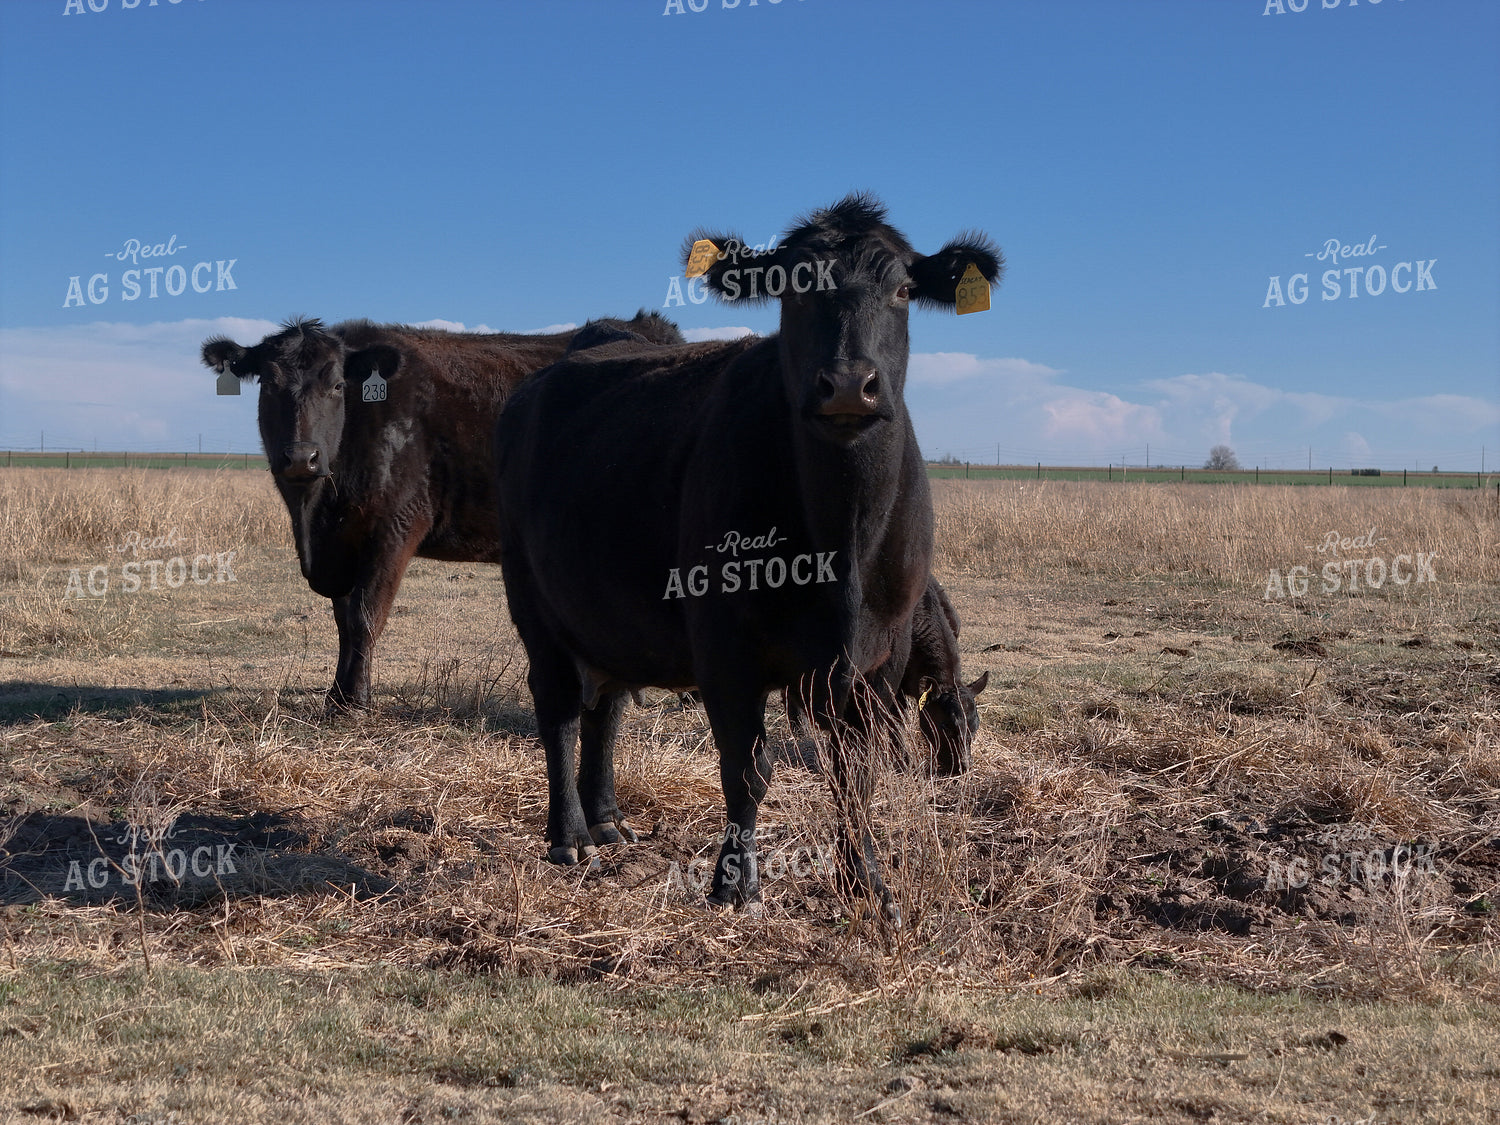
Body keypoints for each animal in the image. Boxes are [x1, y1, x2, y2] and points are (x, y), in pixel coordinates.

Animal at [200, 311, 683, 711]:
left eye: (337, 386)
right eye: (267, 384)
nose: (302, 457)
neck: (316, 514)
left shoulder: (396, 525)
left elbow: (364, 616)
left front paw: (353, 702)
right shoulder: (341, 540)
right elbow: (342, 619)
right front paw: (338, 693)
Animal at [786, 576, 989, 776]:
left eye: (975, 726)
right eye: (945, 726)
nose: (962, 767)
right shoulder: (893, 685)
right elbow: (896, 721)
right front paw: (902, 761)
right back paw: (799, 728)